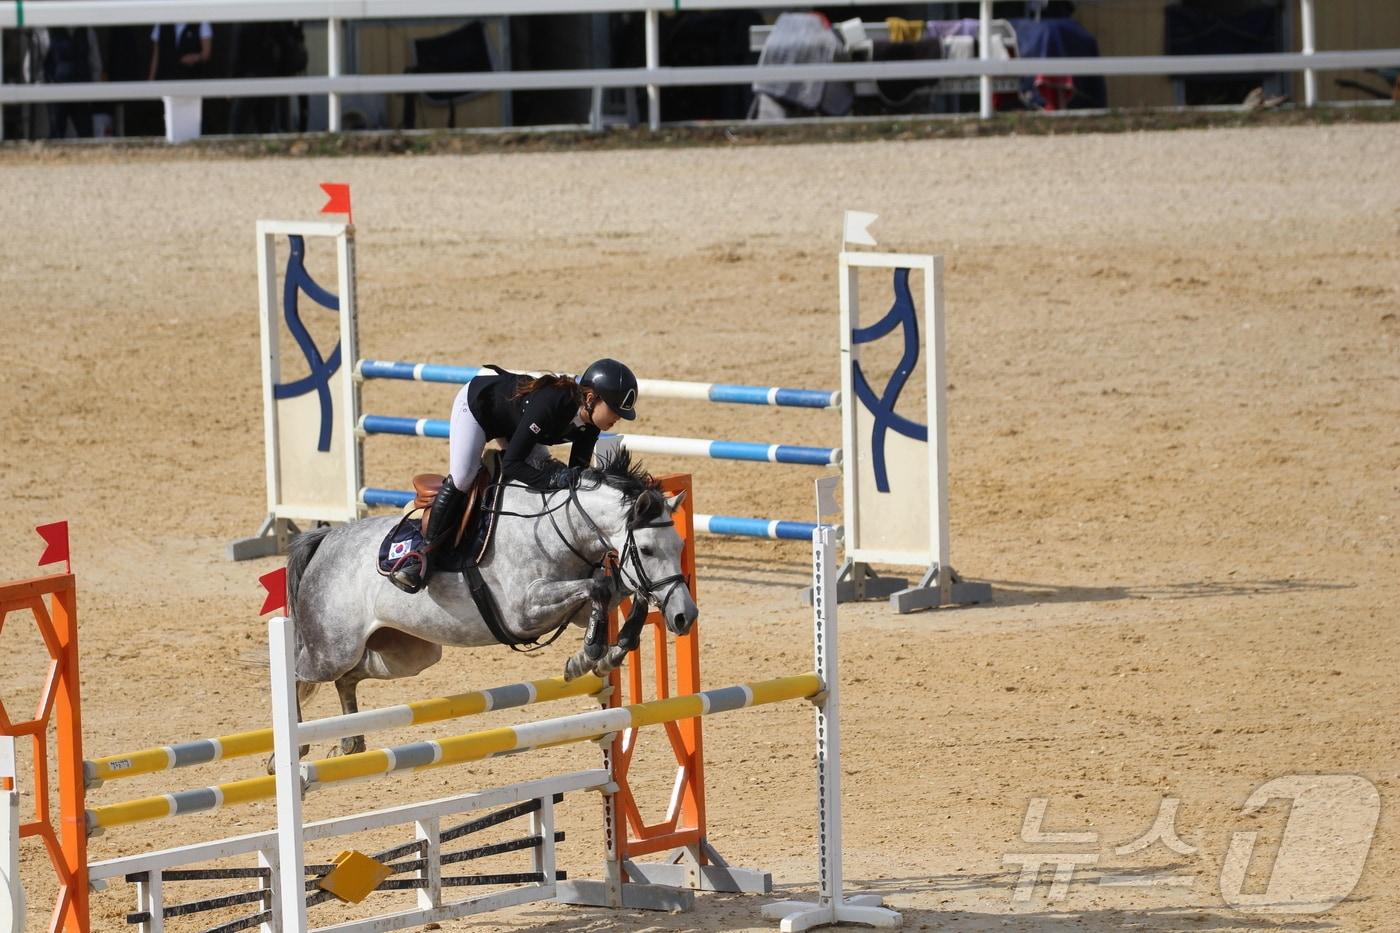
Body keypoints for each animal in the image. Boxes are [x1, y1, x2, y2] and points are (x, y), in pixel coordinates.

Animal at [284, 451, 700, 756]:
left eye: (680, 545)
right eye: (646, 548)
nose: (685, 616)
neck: (559, 527)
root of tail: (326, 539)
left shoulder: (579, 607)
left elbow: (620, 593)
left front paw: (602, 655)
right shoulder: (523, 611)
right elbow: (598, 588)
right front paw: (588, 656)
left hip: (404, 654)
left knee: (349, 677)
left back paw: (350, 742)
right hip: (331, 649)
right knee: (300, 674)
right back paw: (290, 752)